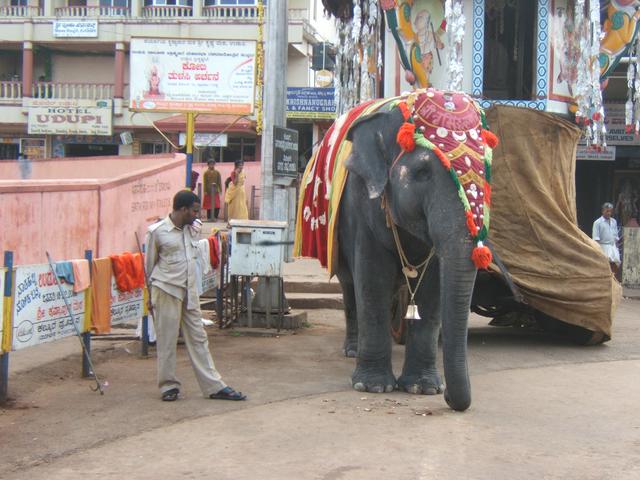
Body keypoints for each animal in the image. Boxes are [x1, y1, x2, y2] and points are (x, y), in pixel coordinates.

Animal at [296, 90, 496, 412]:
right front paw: (373, 386)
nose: (449, 397)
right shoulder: (361, 203)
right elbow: (372, 278)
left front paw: (423, 388)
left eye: (487, 174)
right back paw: (353, 351)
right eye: (423, 172)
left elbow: (433, 287)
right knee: (351, 287)